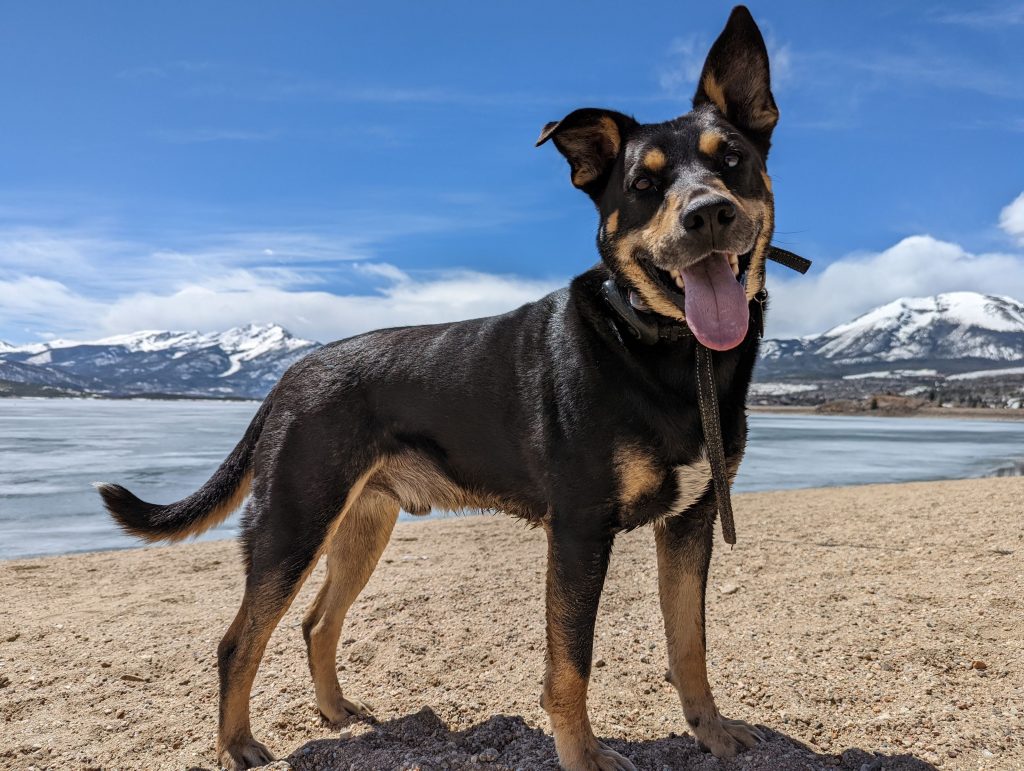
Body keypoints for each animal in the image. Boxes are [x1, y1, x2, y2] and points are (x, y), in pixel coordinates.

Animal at [99, 7, 786, 769]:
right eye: (643, 185)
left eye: (732, 159)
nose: (708, 213)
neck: (665, 348)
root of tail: (290, 375)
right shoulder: (580, 528)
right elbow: (570, 665)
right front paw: (583, 755)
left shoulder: (692, 518)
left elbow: (690, 641)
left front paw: (712, 729)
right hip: (294, 522)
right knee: (237, 640)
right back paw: (239, 744)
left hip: (362, 523)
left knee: (316, 623)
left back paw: (337, 711)